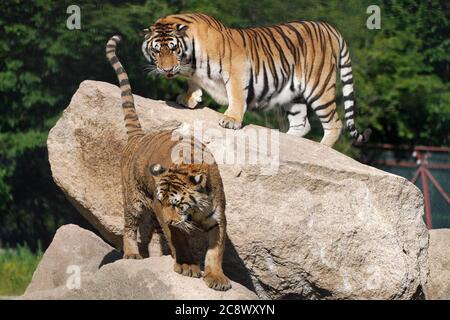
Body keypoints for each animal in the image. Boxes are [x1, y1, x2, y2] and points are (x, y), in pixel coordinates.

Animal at [107, 33, 230, 292]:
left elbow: (216, 251)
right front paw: (187, 266)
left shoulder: (217, 219)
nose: (169, 218)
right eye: (164, 201)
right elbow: (179, 240)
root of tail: (139, 136)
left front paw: (216, 278)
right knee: (129, 226)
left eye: (177, 203)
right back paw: (132, 254)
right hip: (134, 201)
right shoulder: (163, 213)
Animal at [142, 12, 370, 148]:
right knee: (302, 124)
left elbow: (236, 96)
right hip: (292, 93)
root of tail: (330, 27)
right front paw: (189, 97)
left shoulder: (236, 69)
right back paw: (288, 139)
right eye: (157, 51)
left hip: (319, 87)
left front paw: (231, 120)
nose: (167, 69)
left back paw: (322, 147)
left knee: (335, 123)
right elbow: (192, 82)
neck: (190, 58)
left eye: (174, 48)